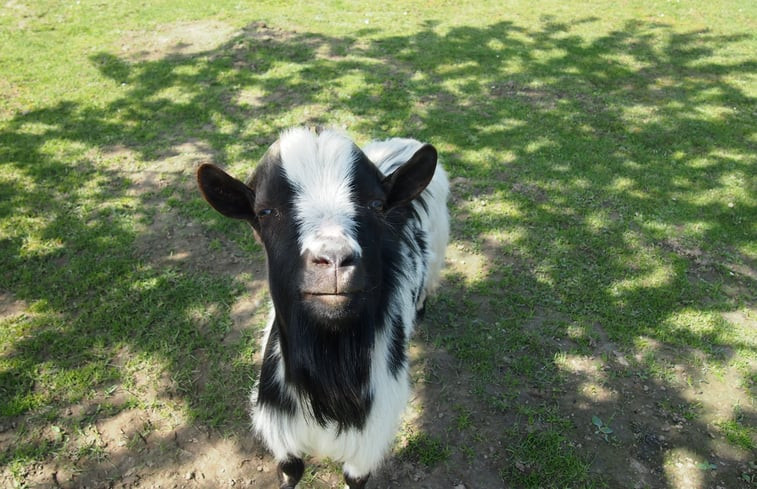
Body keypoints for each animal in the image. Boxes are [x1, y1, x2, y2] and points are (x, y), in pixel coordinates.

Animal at [195, 127, 452, 486]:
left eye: (376, 205)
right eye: (265, 212)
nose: (333, 259)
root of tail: (406, 141)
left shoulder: (368, 442)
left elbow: (355, 479)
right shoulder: (283, 433)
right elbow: (291, 472)